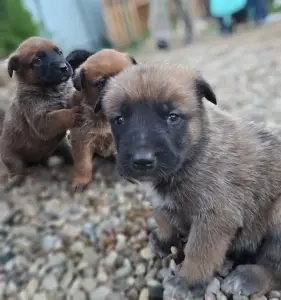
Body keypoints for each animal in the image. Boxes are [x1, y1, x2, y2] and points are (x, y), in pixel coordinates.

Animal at [0, 35, 81, 190]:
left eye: (60, 52)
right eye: (37, 60)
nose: (63, 67)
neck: (53, 90)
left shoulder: (68, 96)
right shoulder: (42, 120)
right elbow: (60, 115)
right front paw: (74, 114)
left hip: (61, 145)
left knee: (67, 153)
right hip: (12, 158)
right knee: (18, 170)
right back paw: (16, 179)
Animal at [101, 62, 281, 298]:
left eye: (173, 117)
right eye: (119, 120)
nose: (142, 160)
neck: (196, 151)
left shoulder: (214, 218)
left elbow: (199, 254)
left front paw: (188, 282)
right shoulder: (160, 202)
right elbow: (163, 219)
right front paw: (165, 242)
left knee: (274, 267)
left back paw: (249, 277)